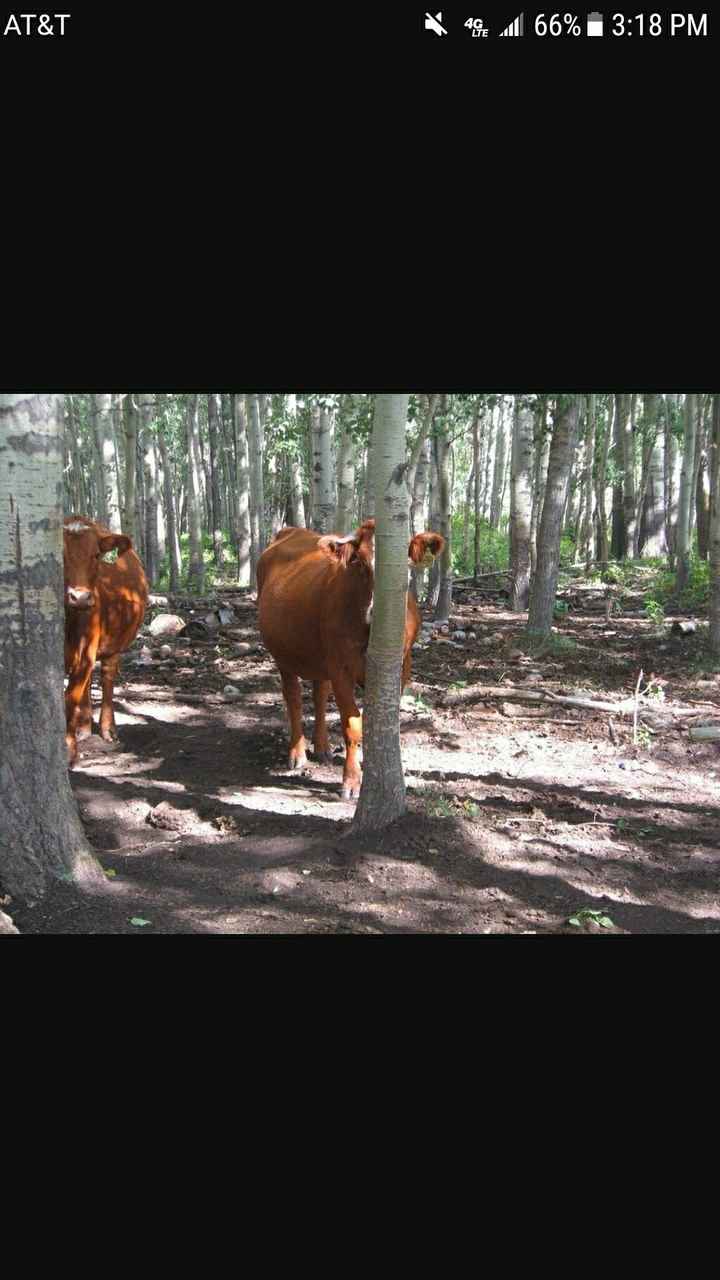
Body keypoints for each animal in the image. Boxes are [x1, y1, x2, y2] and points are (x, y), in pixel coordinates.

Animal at [63, 515, 148, 765]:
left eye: (95, 555)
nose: (80, 597)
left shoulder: (85, 653)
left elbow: (69, 699)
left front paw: (69, 750)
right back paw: (83, 728)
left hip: (115, 645)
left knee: (107, 678)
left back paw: (107, 729)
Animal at [256, 517, 445, 799]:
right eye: (360, 562)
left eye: (407, 564)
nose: (376, 613)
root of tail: (289, 531)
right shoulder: (341, 668)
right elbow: (353, 725)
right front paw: (352, 781)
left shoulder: (402, 666)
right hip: (283, 653)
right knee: (294, 699)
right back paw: (297, 753)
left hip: (320, 657)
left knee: (319, 694)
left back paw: (322, 747)